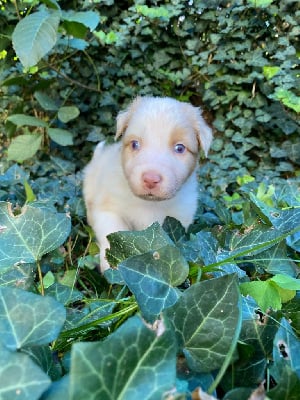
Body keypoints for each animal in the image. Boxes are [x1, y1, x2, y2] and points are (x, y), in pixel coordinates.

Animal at [83, 96, 212, 272]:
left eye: (180, 148)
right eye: (135, 144)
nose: (151, 179)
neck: (150, 204)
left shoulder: (179, 218)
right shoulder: (108, 208)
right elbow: (113, 231)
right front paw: (112, 264)